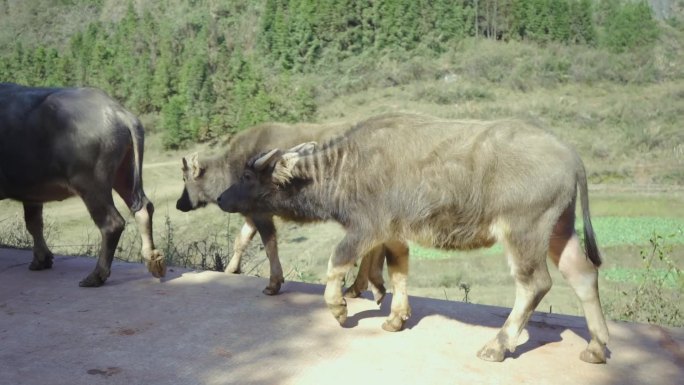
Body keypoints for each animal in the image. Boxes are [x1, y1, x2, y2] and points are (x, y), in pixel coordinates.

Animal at [0, 83, 164, 284]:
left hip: (91, 184)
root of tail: (118, 112)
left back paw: (95, 276)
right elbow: (33, 223)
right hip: (125, 172)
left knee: (112, 223)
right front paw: (41, 260)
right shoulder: (32, 193)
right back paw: (153, 260)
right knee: (143, 209)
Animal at [176, 121, 388, 298]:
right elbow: (240, 241)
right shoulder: (251, 215)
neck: (229, 172)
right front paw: (231, 269)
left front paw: (273, 283)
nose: (179, 204)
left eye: (185, 178)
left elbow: (270, 247)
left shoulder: (261, 214)